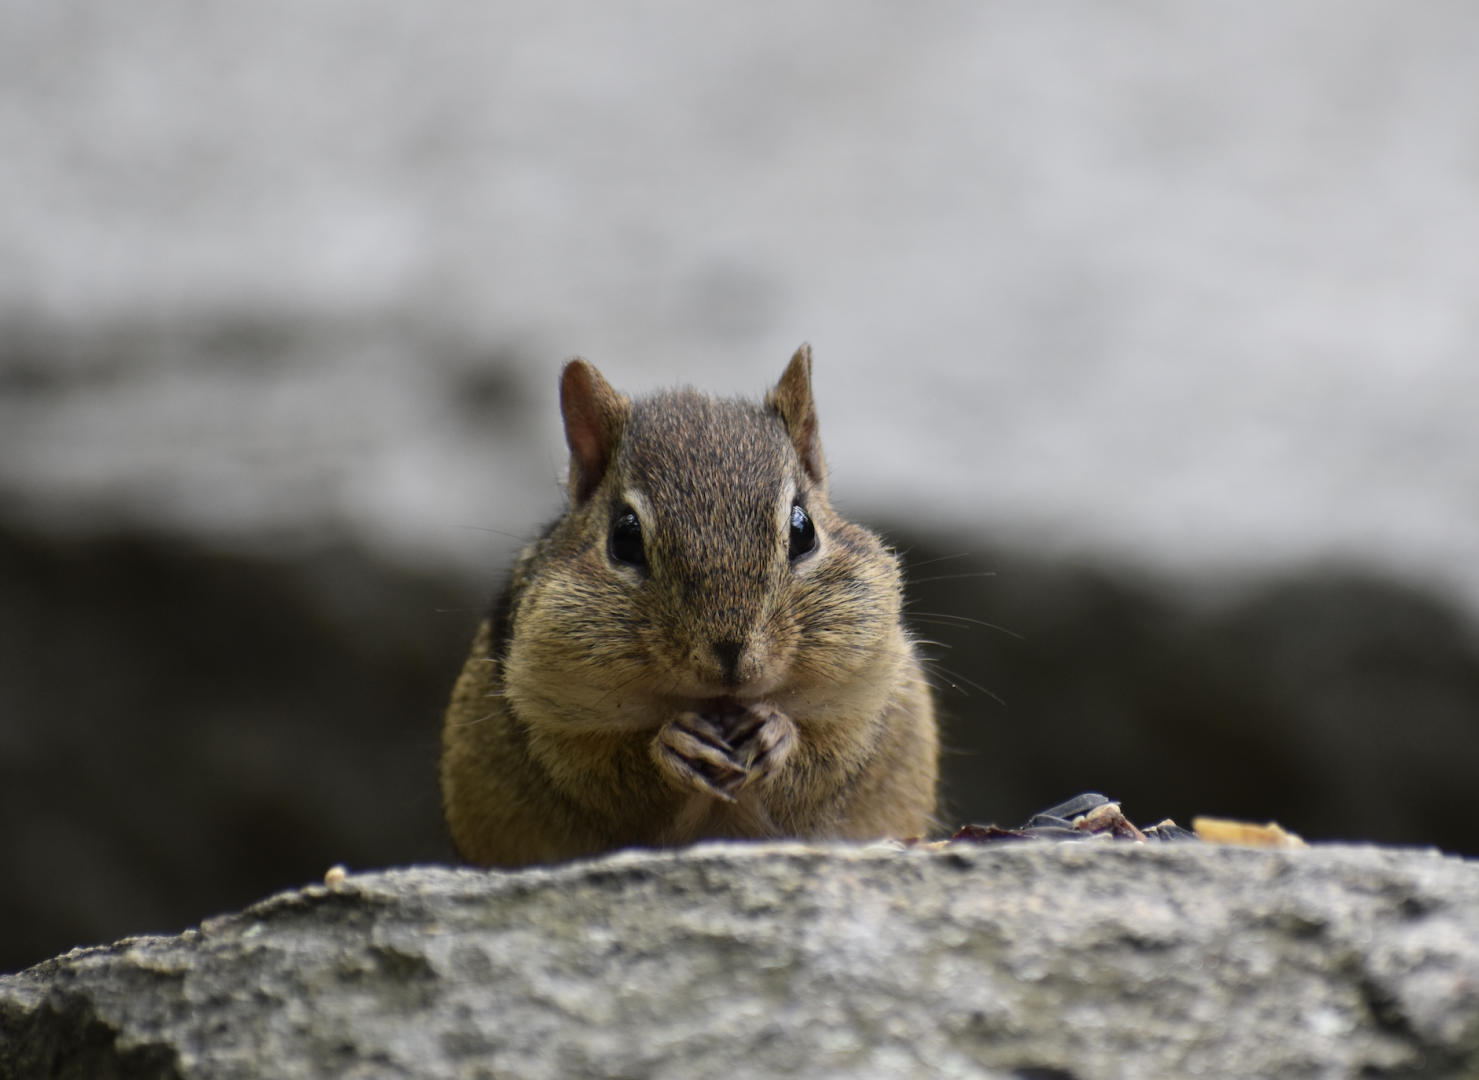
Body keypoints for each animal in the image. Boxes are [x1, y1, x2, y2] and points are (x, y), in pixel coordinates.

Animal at [440, 345, 938, 867]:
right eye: (624, 538)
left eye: (803, 530)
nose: (731, 659)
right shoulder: (547, 714)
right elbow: (602, 772)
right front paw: (674, 743)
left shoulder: (867, 694)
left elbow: (828, 755)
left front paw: (776, 732)